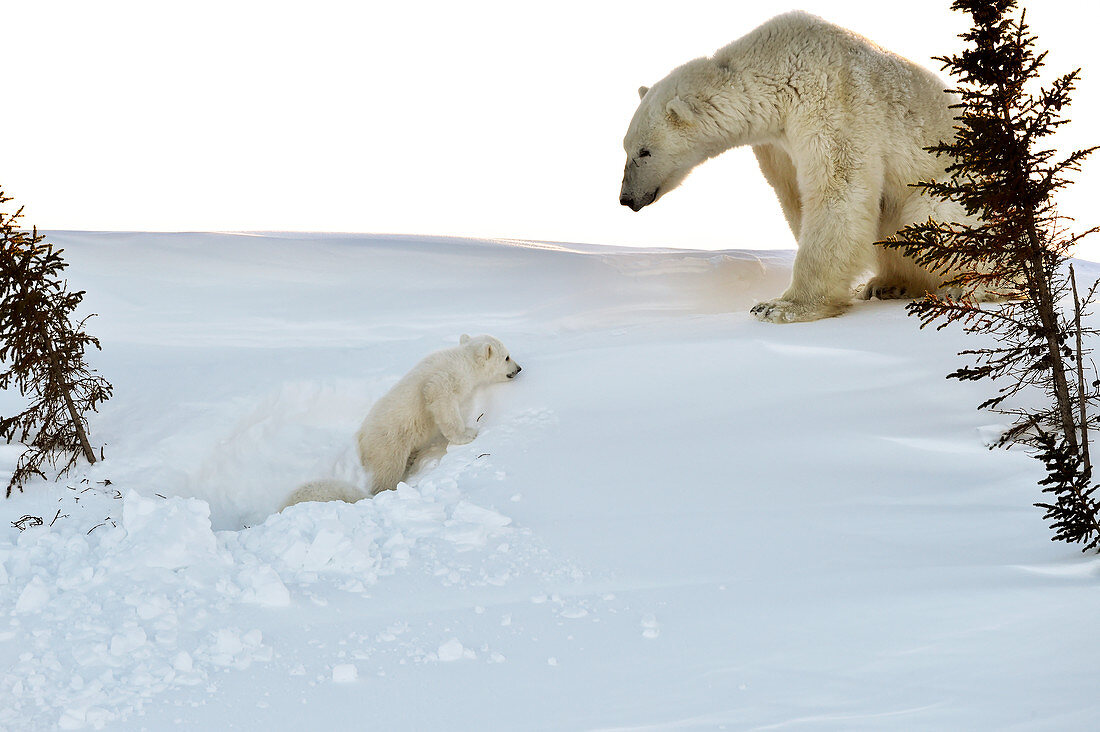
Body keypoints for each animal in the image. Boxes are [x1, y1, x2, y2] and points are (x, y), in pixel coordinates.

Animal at [620, 12, 972, 323]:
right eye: (625, 148)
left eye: (645, 152)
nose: (626, 198)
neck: (778, 66)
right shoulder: (777, 142)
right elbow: (794, 196)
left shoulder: (833, 101)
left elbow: (839, 190)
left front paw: (777, 307)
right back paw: (885, 284)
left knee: (929, 214)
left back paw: (964, 288)